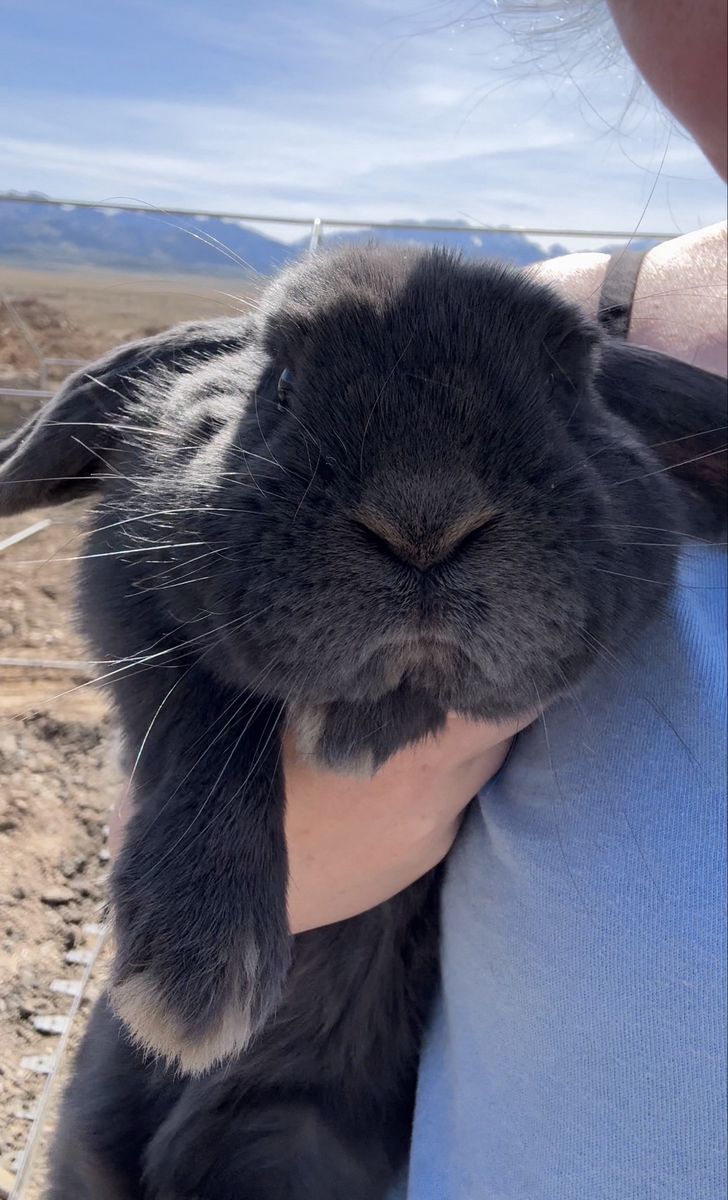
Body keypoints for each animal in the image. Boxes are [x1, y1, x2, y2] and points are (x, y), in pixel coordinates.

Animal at [0, 245, 725, 1200]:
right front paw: (199, 978)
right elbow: (203, 709)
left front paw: (361, 731)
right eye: (281, 380)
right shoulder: (129, 569)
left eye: (572, 385)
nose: (425, 517)